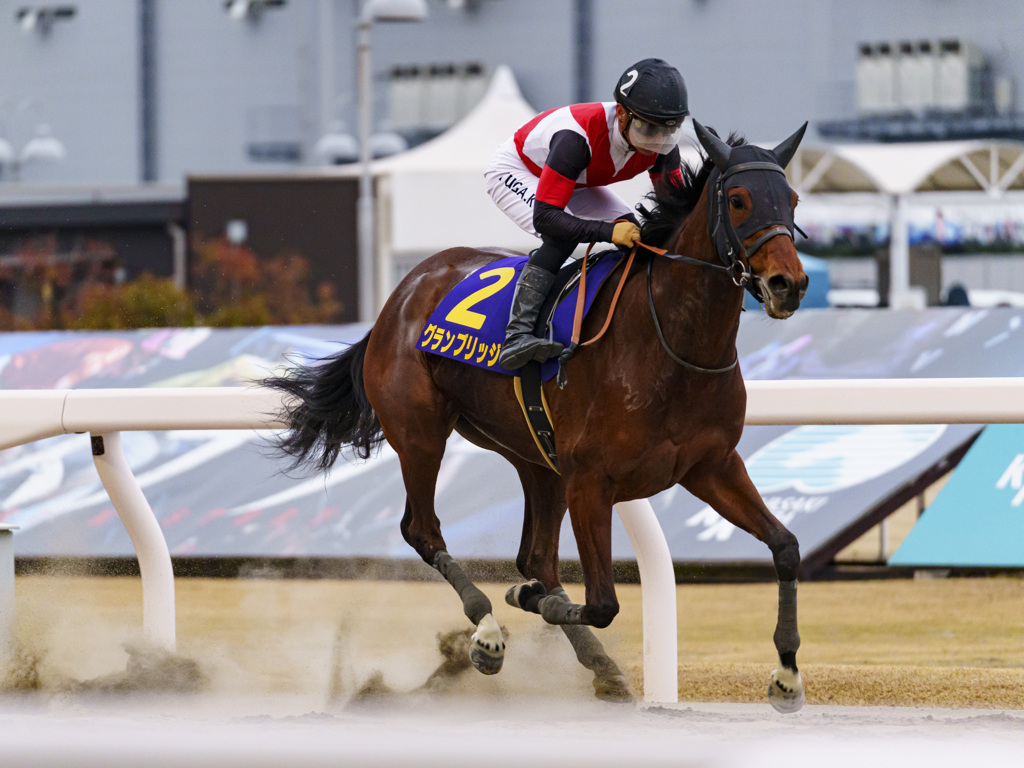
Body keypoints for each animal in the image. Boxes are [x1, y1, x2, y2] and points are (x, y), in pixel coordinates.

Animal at [268, 121, 811, 716]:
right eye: (738, 200)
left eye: (792, 199)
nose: (788, 284)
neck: (669, 342)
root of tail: (403, 292)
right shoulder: (592, 482)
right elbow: (601, 603)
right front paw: (523, 605)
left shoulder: (710, 466)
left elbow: (785, 547)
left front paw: (787, 675)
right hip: (421, 433)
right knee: (424, 529)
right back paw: (486, 632)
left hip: (535, 458)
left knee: (536, 556)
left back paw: (595, 663)